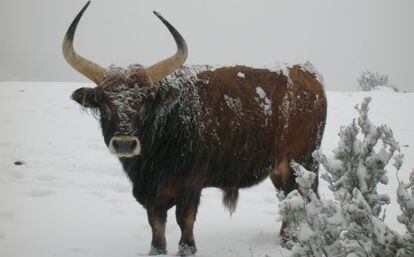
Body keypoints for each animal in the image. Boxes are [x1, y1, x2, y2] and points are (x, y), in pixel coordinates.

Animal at [62, 1, 326, 254]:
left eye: (146, 102)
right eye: (105, 102)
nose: (124, 144)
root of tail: (307, 73)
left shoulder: (190, 185)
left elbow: (184, 221)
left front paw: (187, 248)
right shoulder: (152, 195)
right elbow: (156, 226)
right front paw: (157, 249)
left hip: (303, 162)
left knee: (302, 196)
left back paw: (293, 239)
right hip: (279, 167)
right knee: (287, 198)